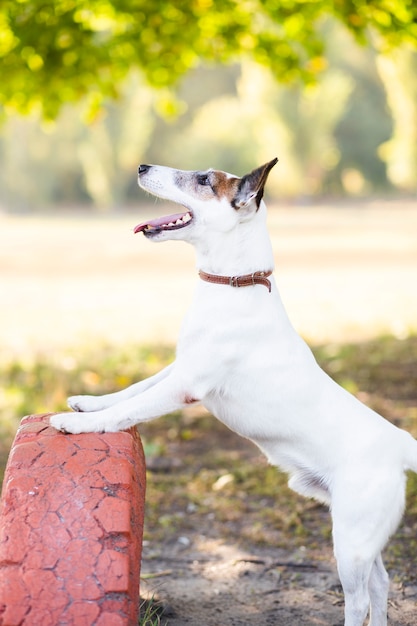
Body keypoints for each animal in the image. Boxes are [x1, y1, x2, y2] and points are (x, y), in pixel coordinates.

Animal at [51, 158, 416, 620]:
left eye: (204, 180)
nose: (142, 165)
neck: (234, 283)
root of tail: (400, 441)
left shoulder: (186, 384)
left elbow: (130, 409)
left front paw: (78, 424)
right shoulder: (178, 366)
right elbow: (133, 389)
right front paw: (88, 402)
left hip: (350, 542)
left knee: (360, 599)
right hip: (361, 535)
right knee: (382, 583)